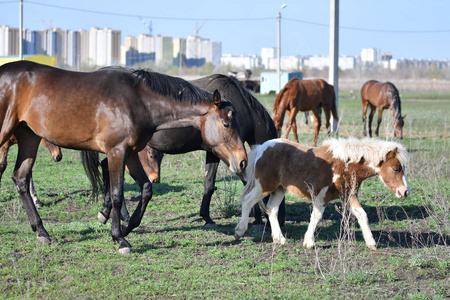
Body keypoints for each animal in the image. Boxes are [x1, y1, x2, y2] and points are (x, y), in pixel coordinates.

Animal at [0, 61, 246, 253]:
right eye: (227, 124)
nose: (242, 160)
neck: (138, 100)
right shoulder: (116, 152)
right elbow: (117, 194)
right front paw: (120, 238)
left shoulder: (132, 153)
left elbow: (146, 189)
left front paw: (127, 227)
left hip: (29, 138)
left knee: (20, 178)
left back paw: (42, 231)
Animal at [97, 73, 284, 227]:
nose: (280, 221)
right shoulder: (225, 155)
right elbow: (246, 181)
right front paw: (257, 217)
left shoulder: (214, 153)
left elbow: (209, 184)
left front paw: (207, 217)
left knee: (106, 167)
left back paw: (110, 212)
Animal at [234, 137, 410, 250]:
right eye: (396, 168)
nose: (405, 192)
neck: (343, 165)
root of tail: (261, 148)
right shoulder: (321, 195)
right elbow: (317, 216)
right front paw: (309, 242)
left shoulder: (349, 195)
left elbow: (362, 214)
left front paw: (371, 243)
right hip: (264, 186)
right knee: (247, 202)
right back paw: (239, 231)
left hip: (279, 189)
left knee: (272, 209)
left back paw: (280, 239)